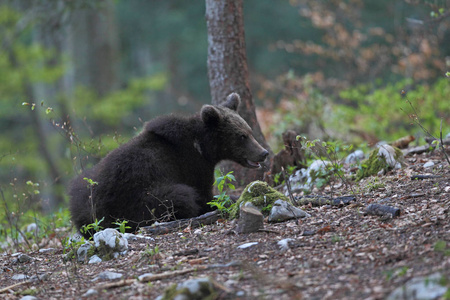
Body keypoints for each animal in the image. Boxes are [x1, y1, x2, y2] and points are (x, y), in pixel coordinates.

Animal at [68, 92, 268, 236]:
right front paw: (229, 199)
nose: (263, 153)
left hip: (84, 188)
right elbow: (204, 194)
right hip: (136, 198)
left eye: (249, 131)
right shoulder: (191, 165)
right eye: (241, 136)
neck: (203, 147)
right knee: (181, 196)